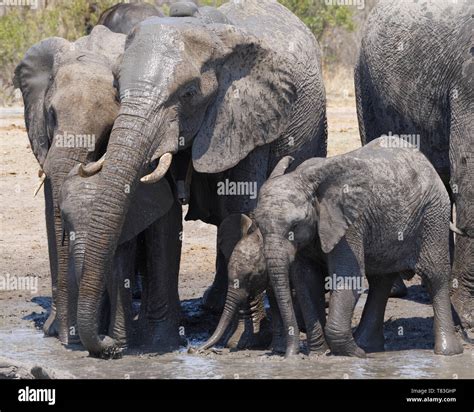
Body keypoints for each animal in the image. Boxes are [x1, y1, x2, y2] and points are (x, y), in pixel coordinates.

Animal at [57, 164, 180, 358]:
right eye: (63, 217)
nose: (108, 345)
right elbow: (72, 273)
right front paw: (77, 343)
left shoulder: (128, 227)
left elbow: (118, 274)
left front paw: (120, 345)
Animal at [78, 0, 328, 358]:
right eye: (115, 88)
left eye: (188, 93)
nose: (108, 347)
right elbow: (166, 212)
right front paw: (162, 343)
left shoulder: (250, 115)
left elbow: (241, 202)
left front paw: (245, 340)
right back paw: (212, 306)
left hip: (315, 127)